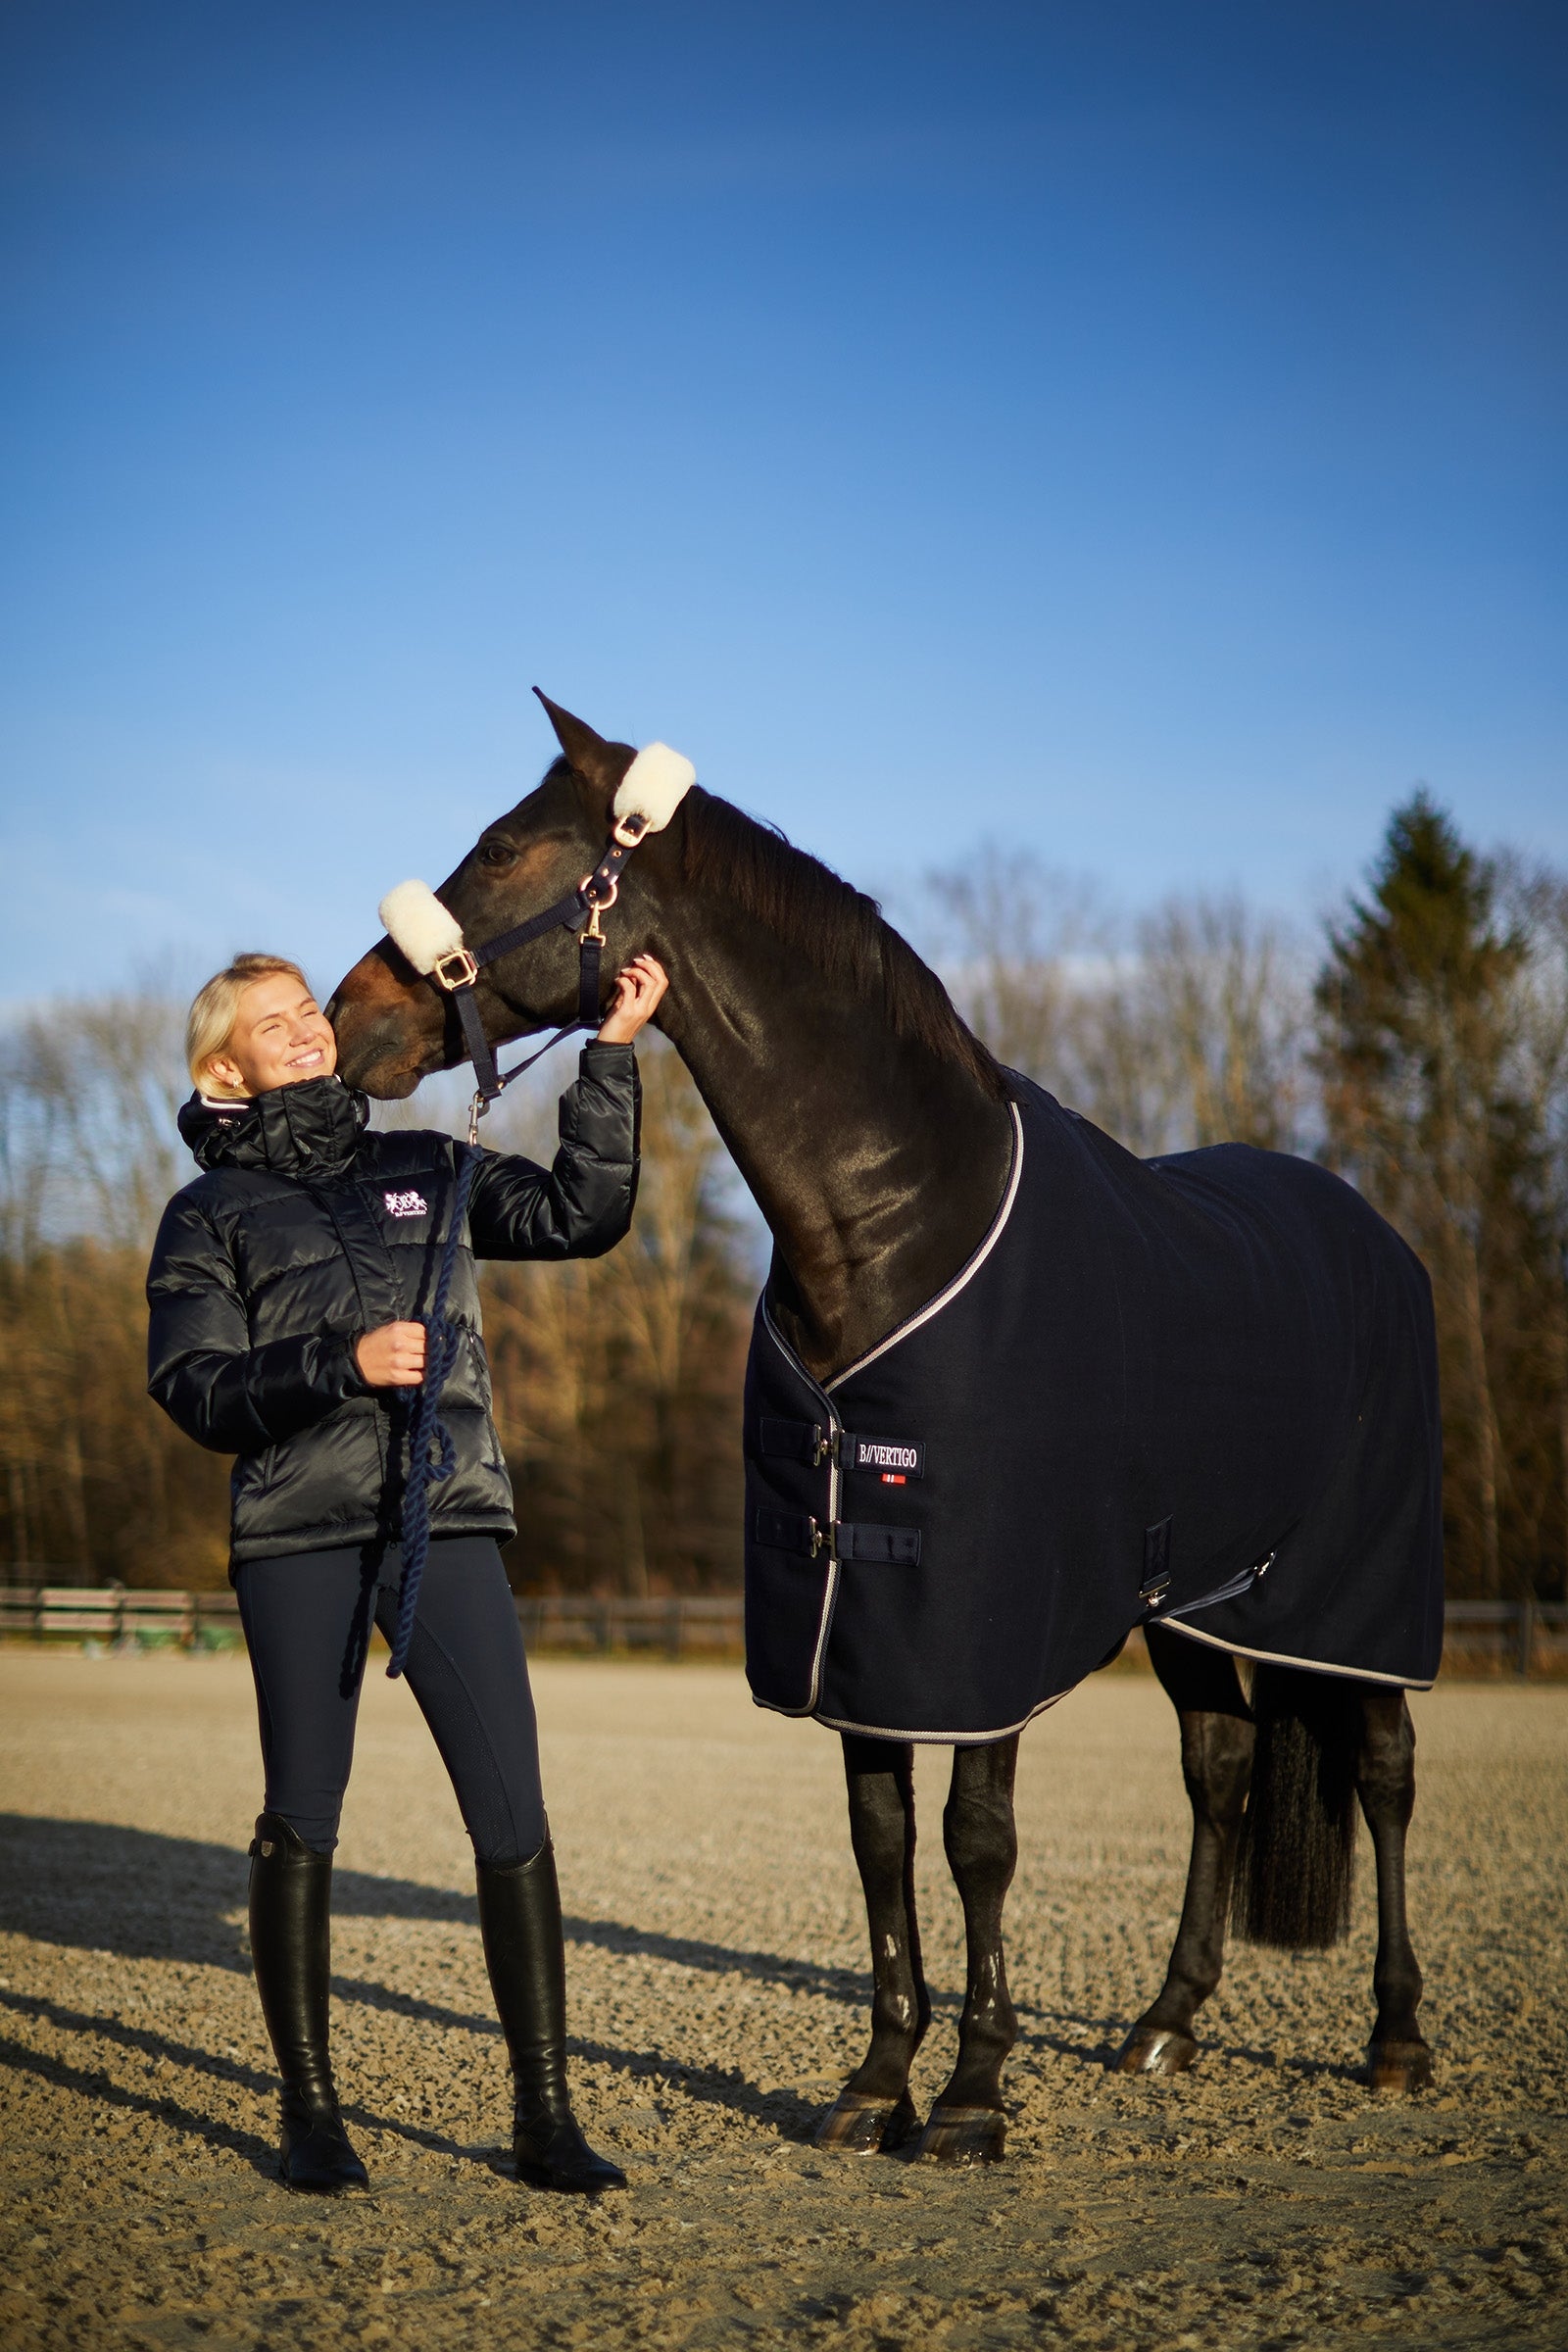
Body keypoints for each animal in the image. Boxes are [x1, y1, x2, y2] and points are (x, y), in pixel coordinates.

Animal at [328, 696, 1439, 2166]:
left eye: (504, 848)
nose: (349, 1014)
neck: (900, 1220)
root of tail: (1374, 1233)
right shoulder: (851, 1618)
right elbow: (877, 1838)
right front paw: (876, 2084)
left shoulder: (980, 1623)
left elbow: (976, 1838)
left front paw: (970, 2095)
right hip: (1195, 1597)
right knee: (1221, 1766)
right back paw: (1165, 2024)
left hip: (1358, 1600)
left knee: (1383, 1774)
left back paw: (1397, 2039)